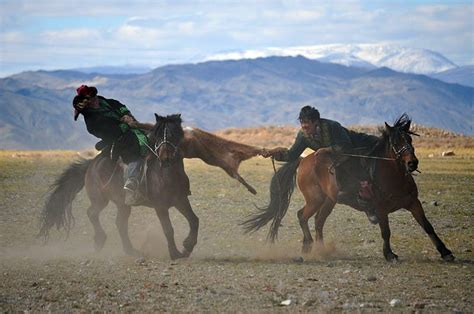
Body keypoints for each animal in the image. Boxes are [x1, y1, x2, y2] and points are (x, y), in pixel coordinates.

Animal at [244, 114, 456, 262]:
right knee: (302, 216)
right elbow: (386, 231)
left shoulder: (413, 202)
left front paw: (445, 252)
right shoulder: (381, 209)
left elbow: (427, 226)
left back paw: (320, 249)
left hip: (329, 201)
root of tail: (303, 160)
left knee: (318, 221)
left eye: (410, 140)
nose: (412, 163)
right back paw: (310, 246)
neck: (391, 175)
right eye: (395, 142)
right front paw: (390, 255)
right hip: (315, 199)